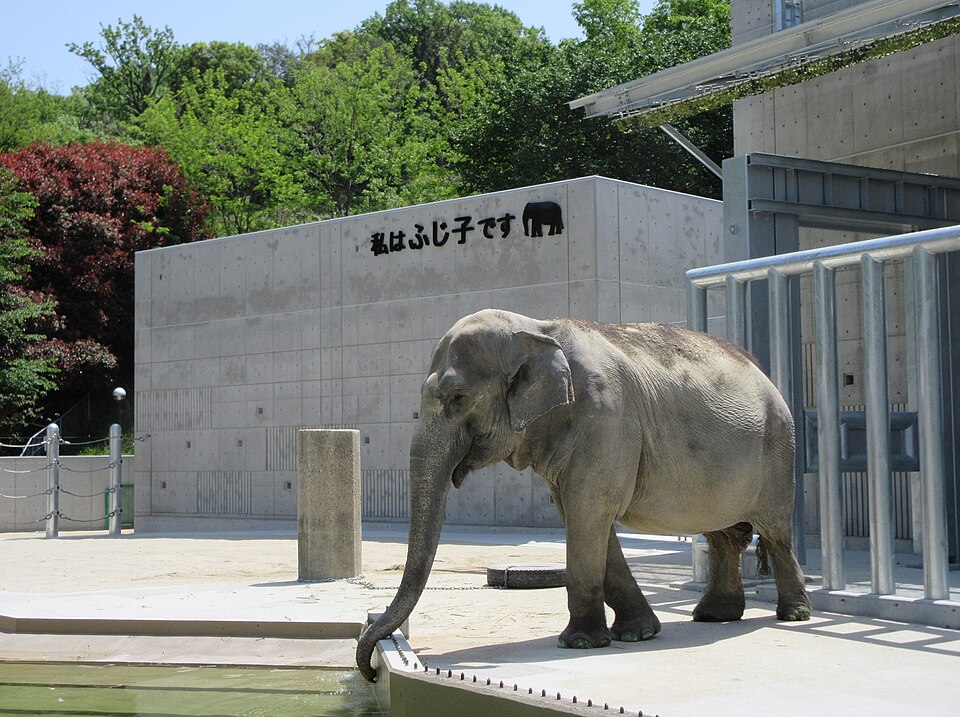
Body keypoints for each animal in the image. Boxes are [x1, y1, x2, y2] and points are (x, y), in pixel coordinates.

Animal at [356, 309, 811, 682]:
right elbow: (585, 517)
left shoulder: (606, 419)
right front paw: (638, 633)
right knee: (723, 535)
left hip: (778, 448)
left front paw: (579, 643)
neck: (536, 329)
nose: (373, 669)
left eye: (458, 397)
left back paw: (792, 614)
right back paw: (714, 616)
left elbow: (588, 513)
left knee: (774, 532)